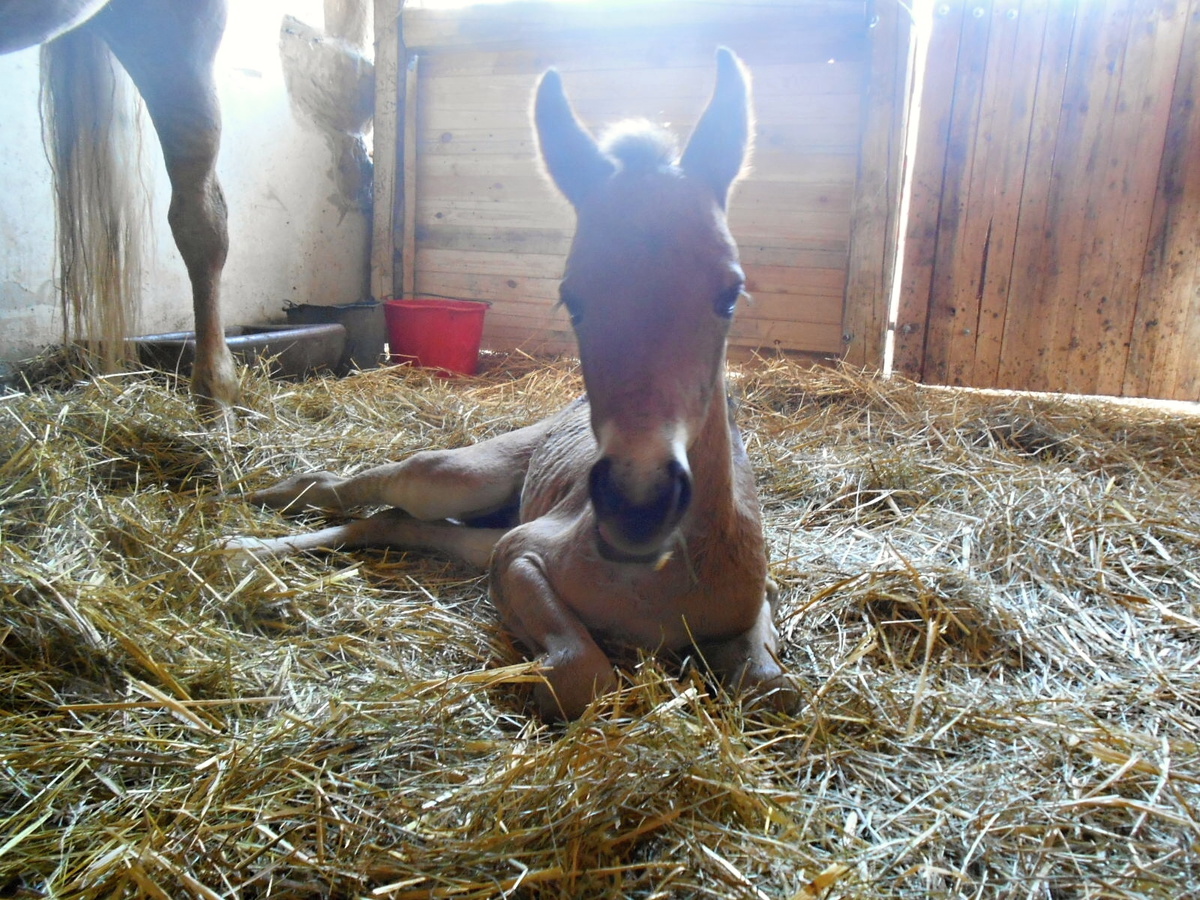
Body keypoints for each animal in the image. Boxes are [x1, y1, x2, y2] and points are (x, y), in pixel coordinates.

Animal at [227, 49, 789, 721]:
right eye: (572, 297)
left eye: (730, 292)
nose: (638, 502)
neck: (661, 575)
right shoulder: (519, 552)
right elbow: (582, 676)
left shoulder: (757, 603)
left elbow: (774, 688)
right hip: (460, 478)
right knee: (368, 486)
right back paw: (254, 523)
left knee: (393, 522)